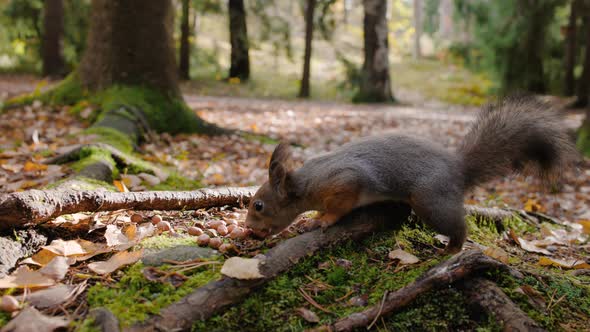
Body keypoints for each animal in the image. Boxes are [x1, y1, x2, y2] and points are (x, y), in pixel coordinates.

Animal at [244, 94, 580, 253]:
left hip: (429, 199)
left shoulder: (344, 181)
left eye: (258, 205)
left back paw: (452, 248)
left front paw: (320, 220)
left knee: (458, 226)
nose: (247, 229)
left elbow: (340, 205)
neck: (307, 182)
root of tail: (457, 169)